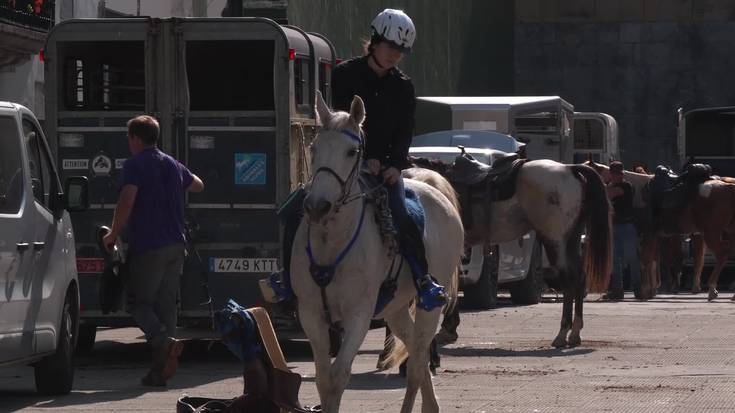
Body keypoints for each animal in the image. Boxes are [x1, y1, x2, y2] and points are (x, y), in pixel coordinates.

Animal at [290, 93, 462, 412]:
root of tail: (434, 189)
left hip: (429, 305)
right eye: (315, 147)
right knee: (414, 351)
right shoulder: (311, 314)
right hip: (395, 309)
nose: (317, 206)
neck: (332, 244)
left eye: (352, 151)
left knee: (417, 364)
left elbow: (339, 375)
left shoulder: (359, 314)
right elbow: (322, 379)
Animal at [588, 160, 735, 300]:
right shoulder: (653, 236)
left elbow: (645, 260)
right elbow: (652, 261)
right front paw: (651, 290)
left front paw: (646, 290)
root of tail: (729, 187)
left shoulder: (646, 234)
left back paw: (711, 288)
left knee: (721, 253)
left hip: (712, 232)